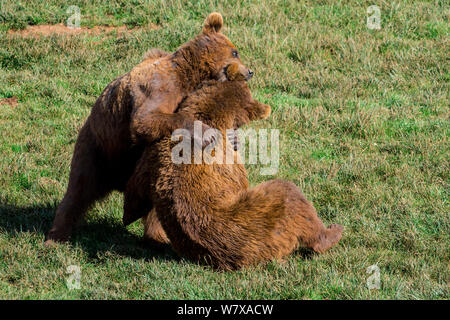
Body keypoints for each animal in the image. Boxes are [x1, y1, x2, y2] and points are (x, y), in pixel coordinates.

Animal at [44, 11, 253, 244]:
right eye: (235, 51)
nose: (250, 71)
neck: (189, 77)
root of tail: (117, 182)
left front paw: (234, 138)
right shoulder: (159, 89)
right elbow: (146, 121)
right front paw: (206, 133)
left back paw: (158, 236)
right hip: (97, 148)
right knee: (79, 188)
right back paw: (56, 236)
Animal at [122, 66, 342, 272]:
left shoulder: (154, 150)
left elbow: (134, 195)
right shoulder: (227, 161)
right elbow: (239, 178)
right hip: (264, 221)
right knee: (292, 198)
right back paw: (332, 232)